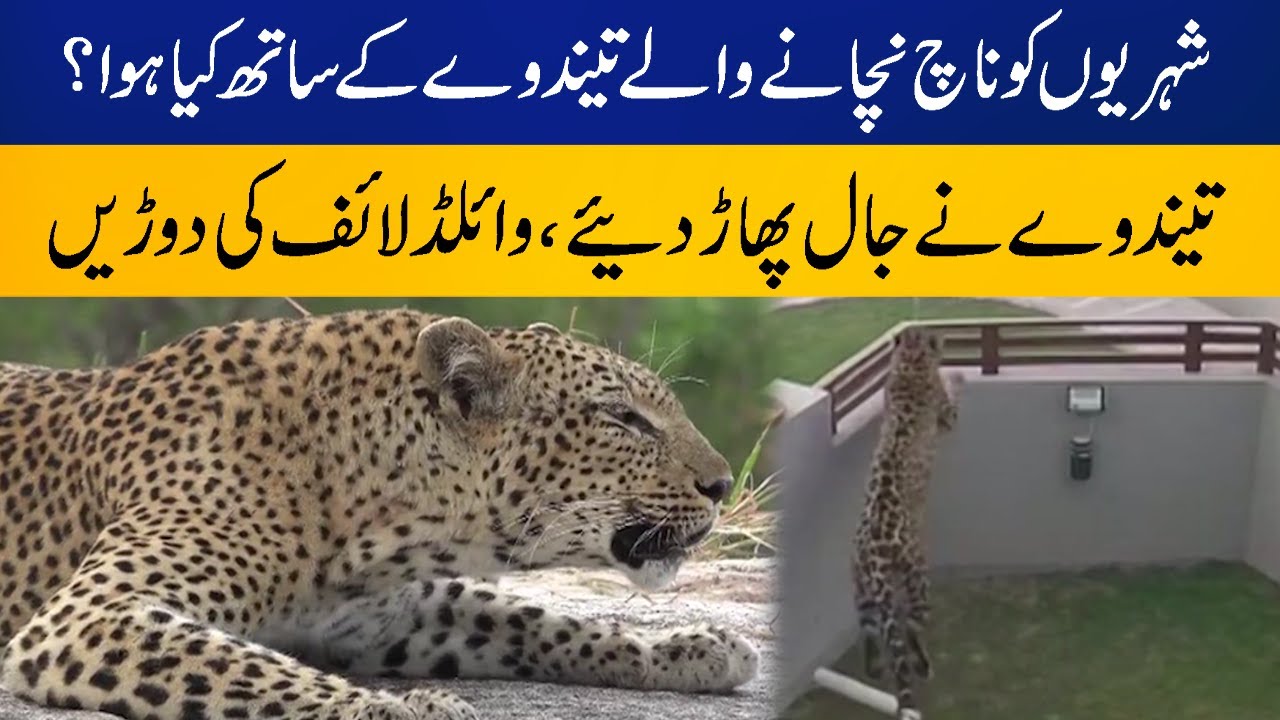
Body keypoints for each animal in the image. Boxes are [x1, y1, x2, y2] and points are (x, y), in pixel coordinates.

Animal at [0, 309, 759, 720]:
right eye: (621, 418)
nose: (722, 485)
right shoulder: (92, 614)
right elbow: (263, 675)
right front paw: (414, 707)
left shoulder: (387, 618)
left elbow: (540, 621)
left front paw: (688, 649)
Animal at [851, 326, 959, 719]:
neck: (911, 361)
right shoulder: (947, 418)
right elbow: (952, 408)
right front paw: (957, 375)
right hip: (918, 581)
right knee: (910, 627)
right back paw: (923, 664)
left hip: (861, 587)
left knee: (871, 628)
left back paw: (874, 667)